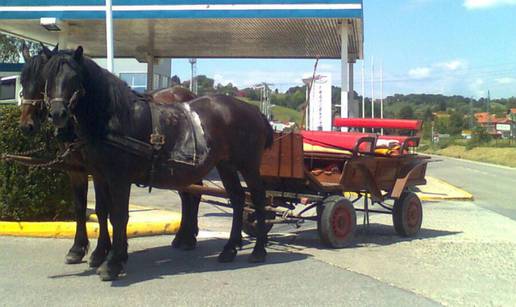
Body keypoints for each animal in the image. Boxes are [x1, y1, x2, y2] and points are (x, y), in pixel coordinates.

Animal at [18, 44, 200, 268]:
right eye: (23, 81)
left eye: (41, 81)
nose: (26, 125)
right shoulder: (77, 169)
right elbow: (83, 207)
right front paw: (80, 249)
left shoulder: (100, 170)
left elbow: (104, 209)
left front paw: (102, 252)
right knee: (187, 195)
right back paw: (184, 235)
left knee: (194, 195)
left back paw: (188, 238)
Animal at [43, 47, 274, 282]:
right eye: (48, 76)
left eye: (74, 77)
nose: (57, 114)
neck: (115, 117)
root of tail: (256, 112)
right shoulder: (99, 175)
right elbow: (103, 212)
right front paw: (106, 254)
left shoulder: (119, 178)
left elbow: (118, 216)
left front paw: (112, 263)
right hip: (225, 165)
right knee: (237, 199)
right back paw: (229, 248)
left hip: (248, 165)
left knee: (257, 198)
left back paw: (258, 250)